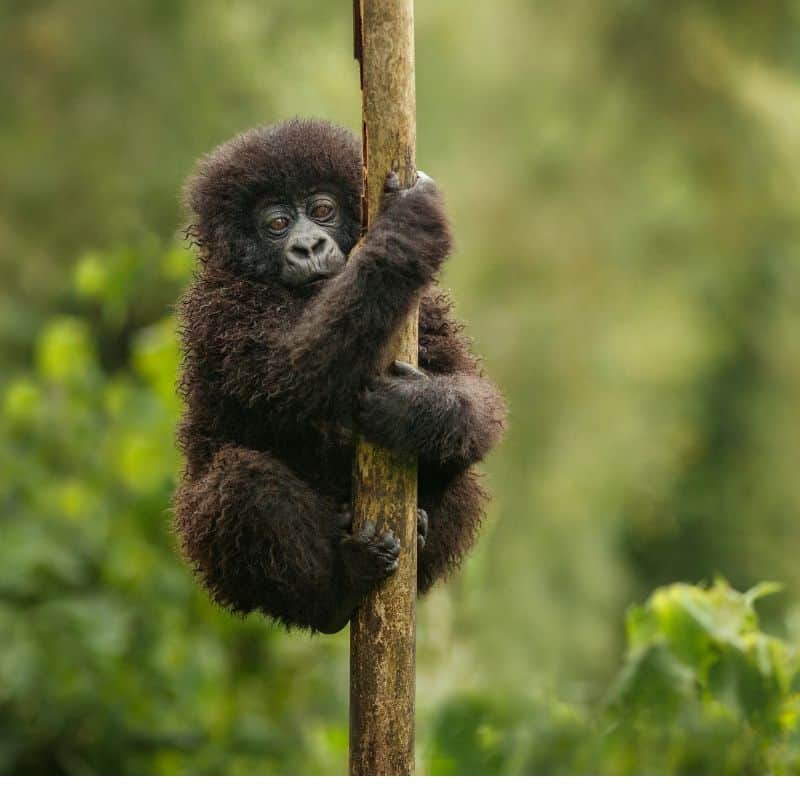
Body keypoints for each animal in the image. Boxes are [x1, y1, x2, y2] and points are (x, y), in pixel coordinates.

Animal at [177, 119, 506, 632]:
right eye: (276, 224)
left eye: (322, 210)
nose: (309, 245)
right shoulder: (219, 310)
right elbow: (292, 375)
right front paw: (405, 230)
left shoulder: (427, 307)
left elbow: (475, 396)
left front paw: (414, 411)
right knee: (242, 484)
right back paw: (338, 591)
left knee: (465, 472)